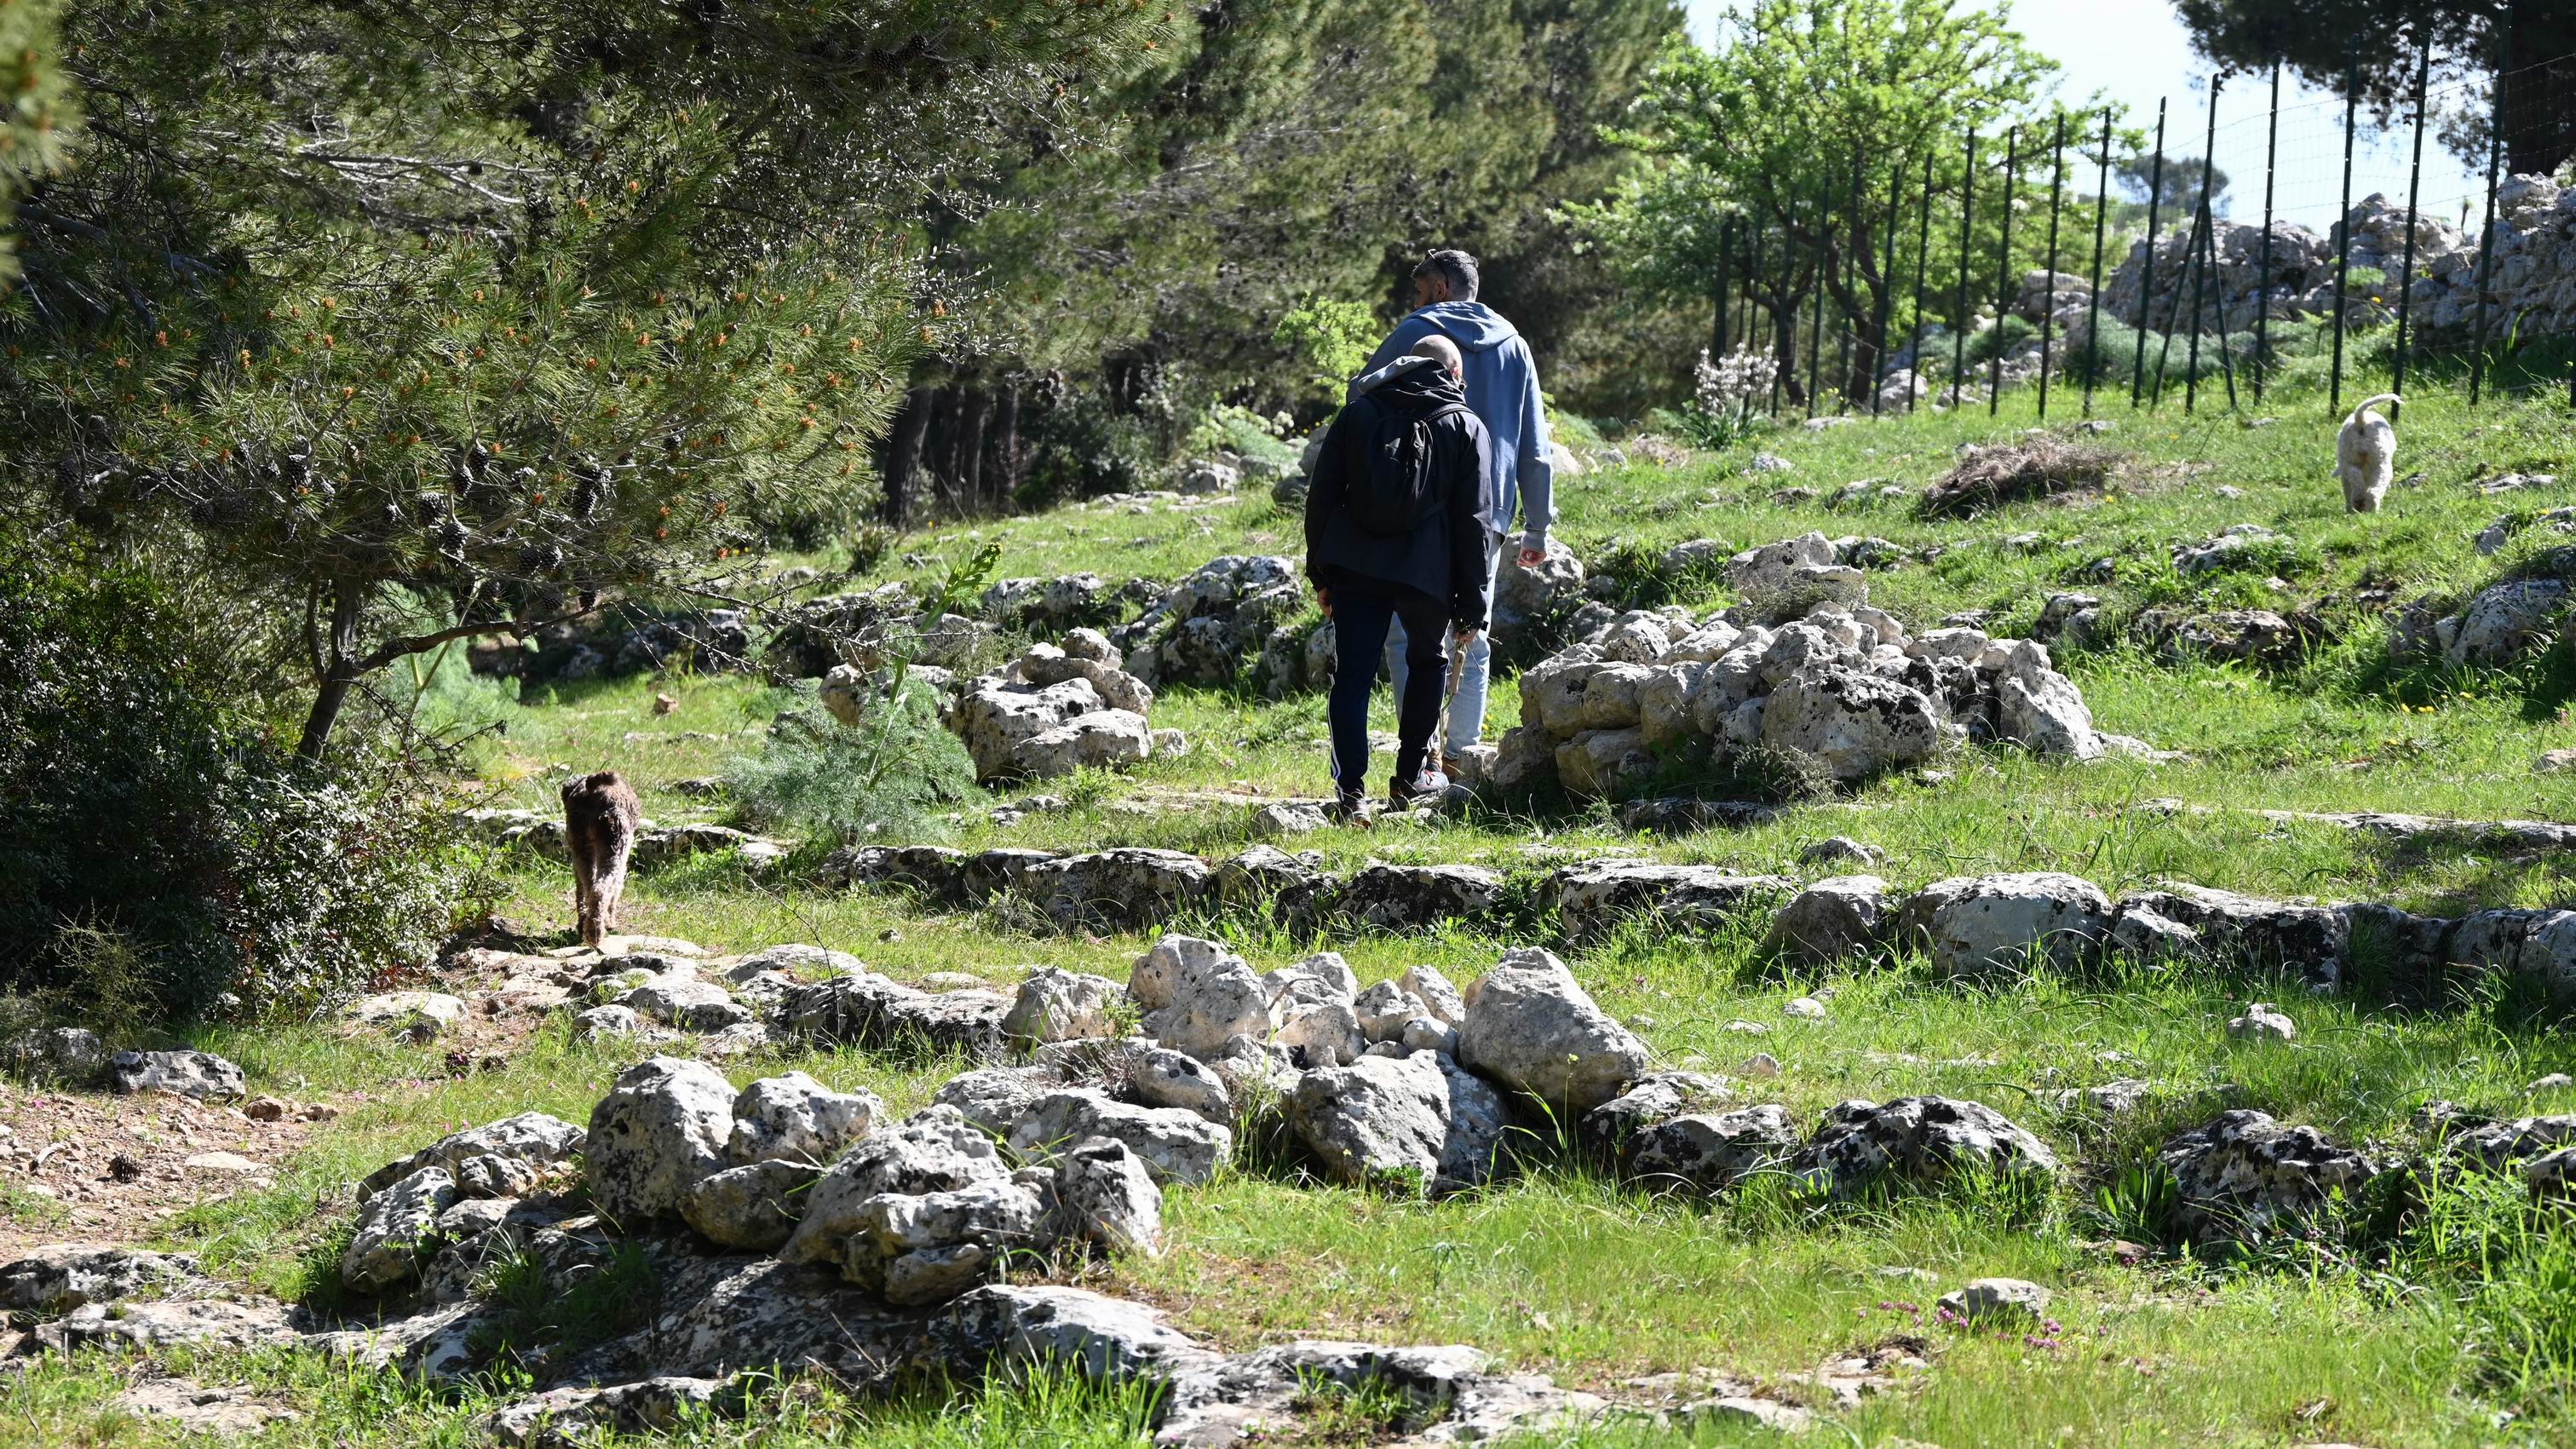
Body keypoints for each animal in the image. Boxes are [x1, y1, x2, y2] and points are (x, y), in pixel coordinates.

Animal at [2349, 392, 2401, 510]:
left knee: (2354, 478)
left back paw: (2356, 503)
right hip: (2380, 460)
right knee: (2374, 490)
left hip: (2349, 460)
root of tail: (2361, 420)